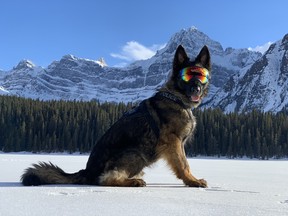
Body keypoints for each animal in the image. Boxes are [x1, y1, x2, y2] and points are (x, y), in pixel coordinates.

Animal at [22, 44, 212, 187]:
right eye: (187, 75)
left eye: (201, 76)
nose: (196, 88)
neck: (176, 98)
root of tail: (87, 171)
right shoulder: (174, 141)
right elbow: (183, 164)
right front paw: (192, 181)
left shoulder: (177, 143)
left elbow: (184, 163)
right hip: (136, 152)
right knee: (105, 179)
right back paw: (133, 181)